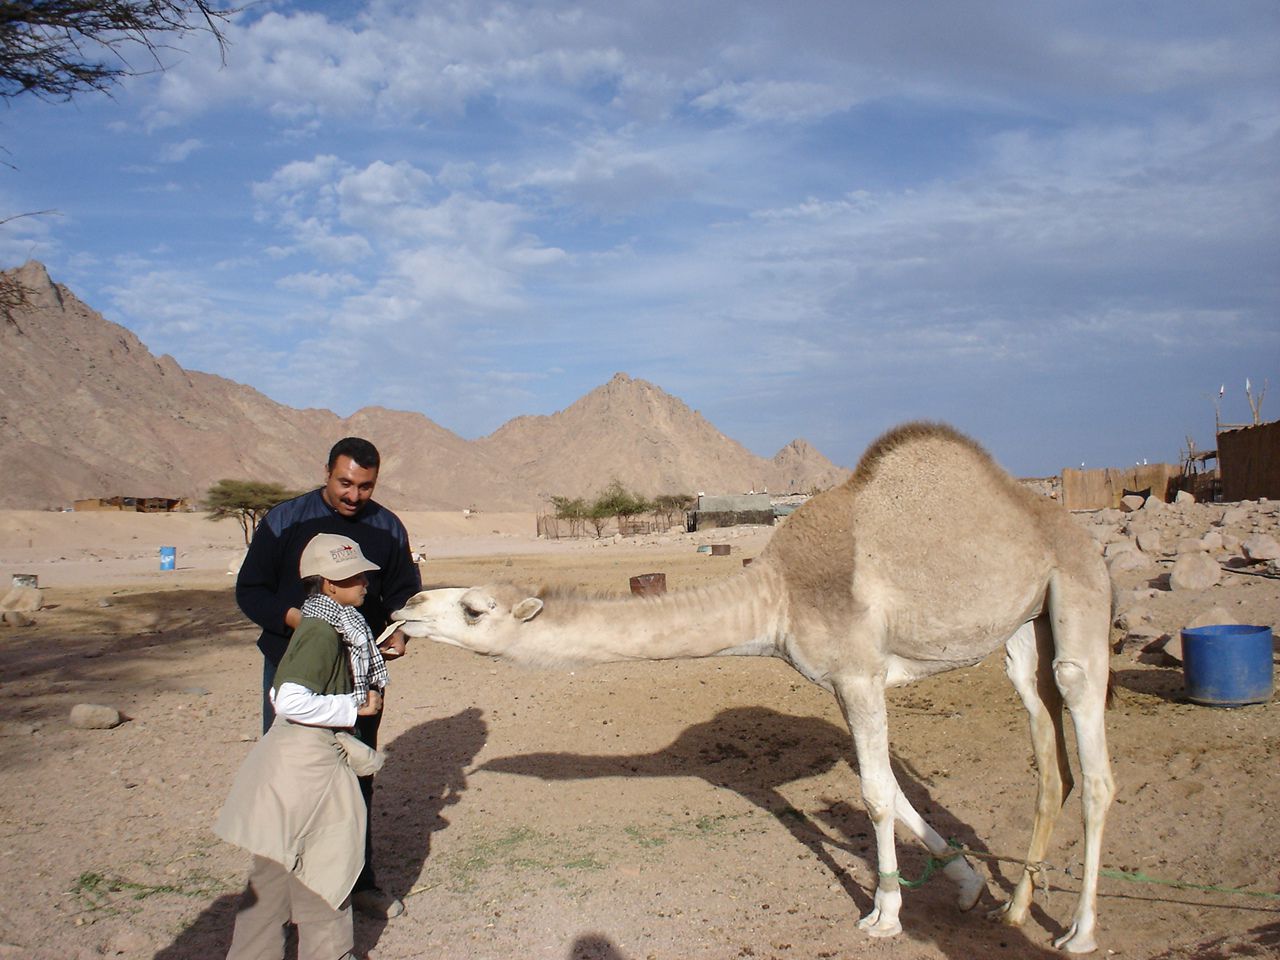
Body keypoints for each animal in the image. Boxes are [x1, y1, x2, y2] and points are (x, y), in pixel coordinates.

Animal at [393, 421, 1114, 953]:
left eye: (474, 609)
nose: (405, 607)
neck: (778, 594)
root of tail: (1073, 529)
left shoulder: (859, 673)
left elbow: (876, 795)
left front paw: (884, 915)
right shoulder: (841, 682)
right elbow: (891, 788)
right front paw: (964, 885)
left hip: (1079, 600)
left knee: (1094, 765)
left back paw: (1079, 933)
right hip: (1025, 630)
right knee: (1050, 761)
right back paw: (1013, 912)